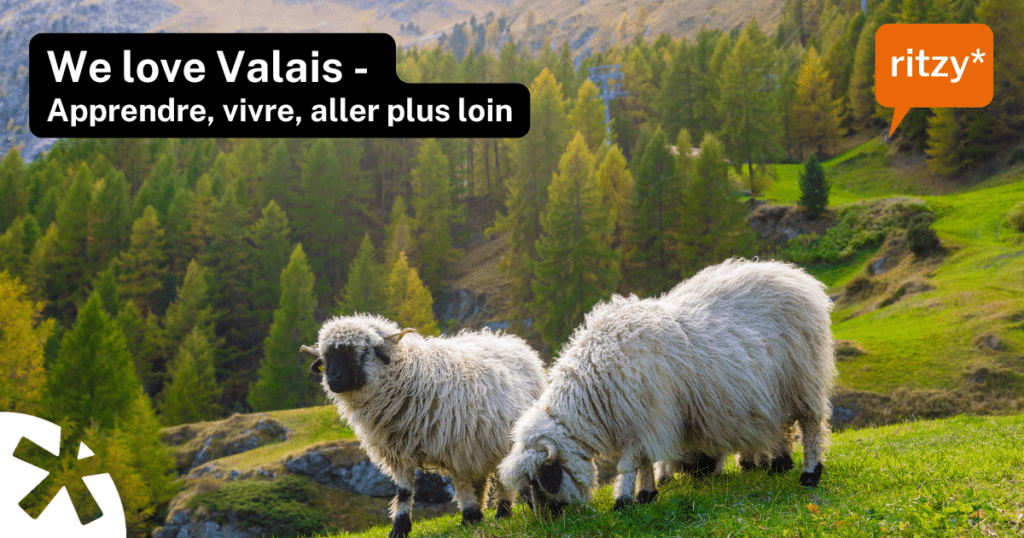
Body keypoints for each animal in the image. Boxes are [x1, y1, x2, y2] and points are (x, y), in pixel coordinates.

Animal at [300, 313, 546, 538]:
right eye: (325, 357)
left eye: (362, 352)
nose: (334, 379)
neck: (408, 375)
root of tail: (504, 338)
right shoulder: (397, 451)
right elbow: (404, 492)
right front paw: (399, 528)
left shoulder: (454, 444)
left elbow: (460, 483)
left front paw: (470, 516)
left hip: (499, 440)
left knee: (502, 478)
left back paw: (502, 511)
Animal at [498, 258, 835, 513]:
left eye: (539, 481)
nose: (549, 521)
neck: (593, 385)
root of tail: (798, 276)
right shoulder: (642, 421)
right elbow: (646, 460)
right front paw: (646, 494)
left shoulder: (648, 415)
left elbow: (631, 462)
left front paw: (623, 501)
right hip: (776, 390)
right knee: (782, 424)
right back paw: (780, 463)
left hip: (803, 377)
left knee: (811, 426)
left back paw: (810, 473)